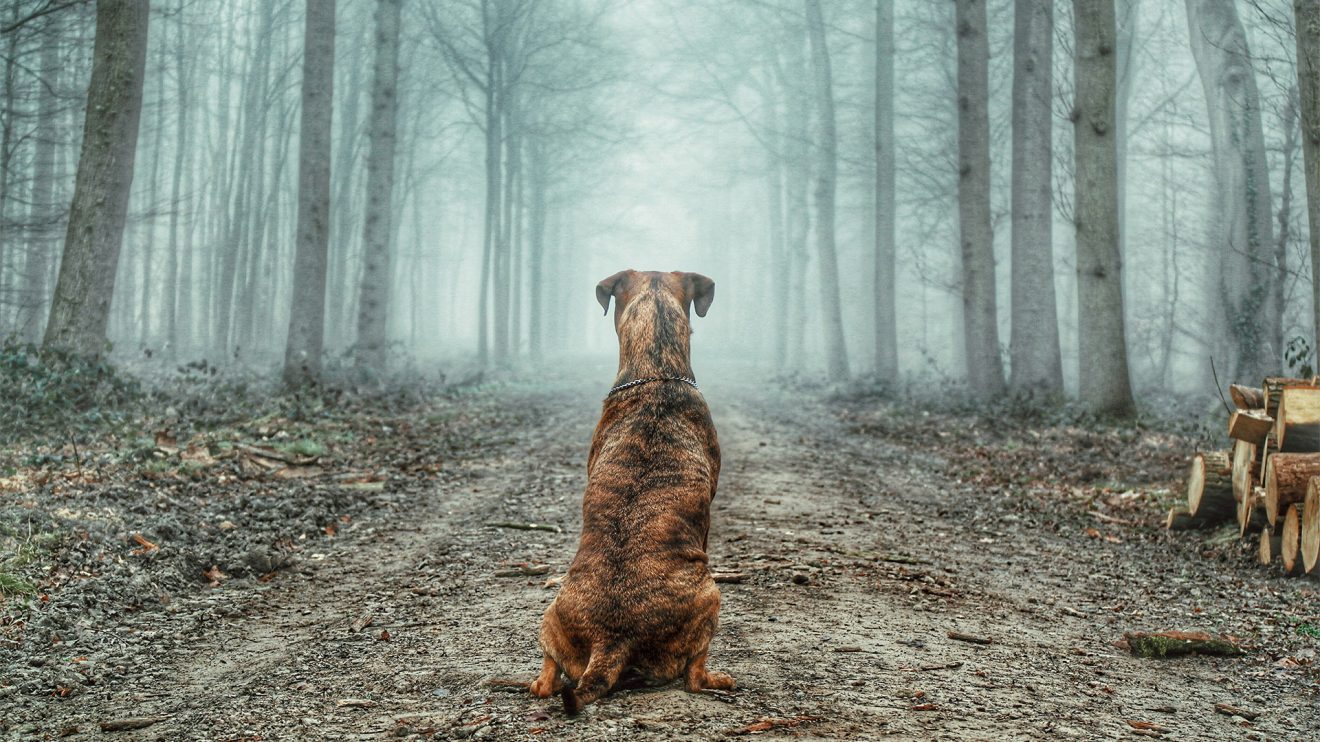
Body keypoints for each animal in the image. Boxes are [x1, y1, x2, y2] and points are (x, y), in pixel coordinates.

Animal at [525, 266, 733, 712]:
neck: (655, 370)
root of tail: (611, 637)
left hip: (549, 619)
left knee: (548, 680)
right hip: (712, 595)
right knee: (694, 676)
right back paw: (718, 679)